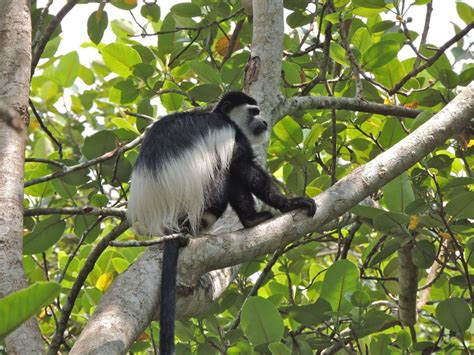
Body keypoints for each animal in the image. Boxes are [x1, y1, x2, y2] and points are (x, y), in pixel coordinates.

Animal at [128, 92, 316, 355]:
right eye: (254, 111)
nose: (264, 122)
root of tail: (170, 222)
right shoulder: (232, 133)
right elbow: (242, 165)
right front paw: (289, 203)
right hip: (205, 198)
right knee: (228, 171)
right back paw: (250, 218)